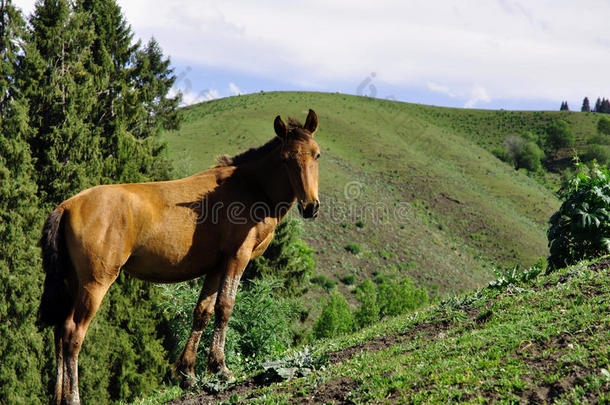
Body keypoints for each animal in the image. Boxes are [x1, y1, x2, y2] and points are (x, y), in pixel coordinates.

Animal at [38, 109, 320, 402]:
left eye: (317, 155)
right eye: (286, 159)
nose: (311, 206)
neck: (250, 186)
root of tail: (67, 206)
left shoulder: (216, 265)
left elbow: (202, 312)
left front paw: (189, 373)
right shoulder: (236, 257)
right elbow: (225, 307)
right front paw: (221, 368)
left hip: (73, 282)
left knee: (59, 331)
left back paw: (58, 396)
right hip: (95, 282)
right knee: (73, 334)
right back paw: (73, 397)